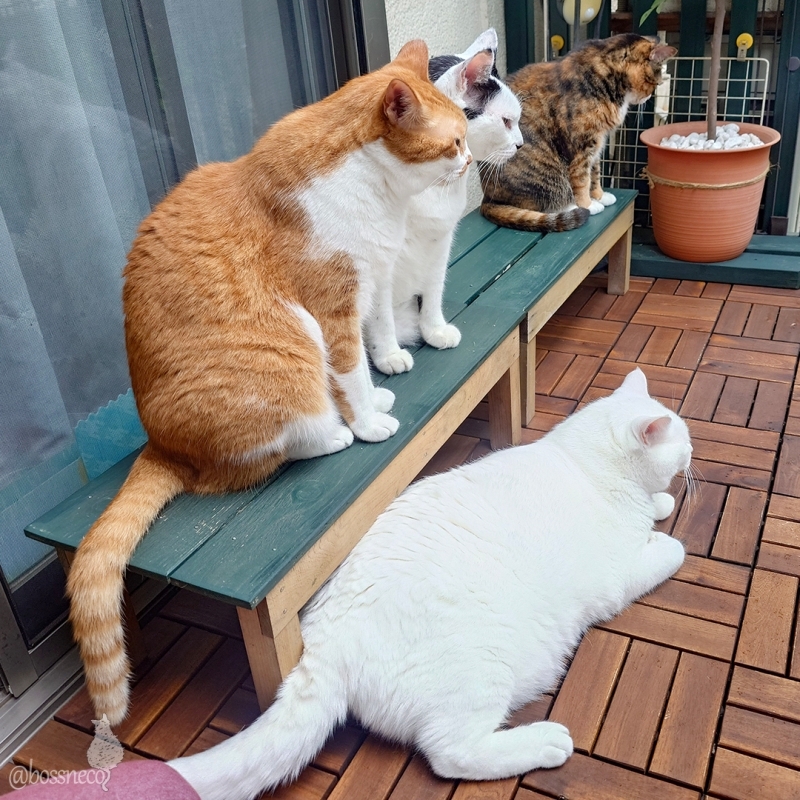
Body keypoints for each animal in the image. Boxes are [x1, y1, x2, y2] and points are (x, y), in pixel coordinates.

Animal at [66, 39, 471, 727]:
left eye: (470, 133)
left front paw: (389, 369)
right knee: (264, 454)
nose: (470, 161)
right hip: (287, 356)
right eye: (454, 142)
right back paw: (333, 435)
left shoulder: (372, 280)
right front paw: (369, 420)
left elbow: (382, 333)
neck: (377, 192)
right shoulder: (332, 305)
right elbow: (349, 368)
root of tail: (159, 443)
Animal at [169, 367, 690, 798]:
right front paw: (666, 527)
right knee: (450, 754)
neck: (582, 464)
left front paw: (661, 506)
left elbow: (656, 510)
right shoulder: (619, 576)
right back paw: (546, 743)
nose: (692, 453)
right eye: (682, 440)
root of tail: (322, 644)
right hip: (482, 667)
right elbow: (672, 549)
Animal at [365, 30, 523, 375]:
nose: (521, 144)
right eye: (507, 121)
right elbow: (380, 315)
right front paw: (388, 354)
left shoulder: (441, 240)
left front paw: (434, 329)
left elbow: (433, 290)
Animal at [480, 34, 676, 232]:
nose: (649, 96)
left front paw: (600, 195)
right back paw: (574, 207)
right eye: (656, 82)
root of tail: (488, 199)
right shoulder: (582, 146)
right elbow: (582, 178)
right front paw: (588, 204)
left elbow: (595, 173)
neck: (603, 77)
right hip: (546, 172)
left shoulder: (598, 143)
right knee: (544, 203)